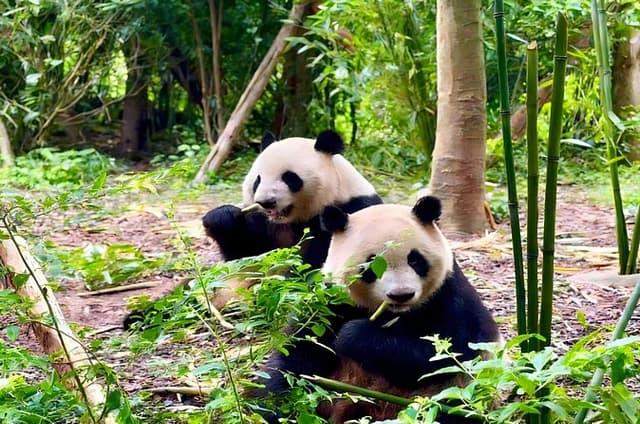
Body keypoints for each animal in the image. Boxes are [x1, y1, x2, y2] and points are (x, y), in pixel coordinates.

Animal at [200, 129, 382, 307]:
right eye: (257, 180)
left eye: (289, 178)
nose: (266, 202)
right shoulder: (266, 224)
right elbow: (248, 254)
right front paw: (221, 217)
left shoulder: (350, 209)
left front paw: (280, 288)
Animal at [255, 196, 499, 424]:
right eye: (371, 264)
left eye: (415, 260)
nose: (401, 294)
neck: (394, 313)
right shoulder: (332, 302)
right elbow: (300, 352)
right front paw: (276, 408)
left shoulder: (449, 297)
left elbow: (447, 354)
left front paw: (353, 335)